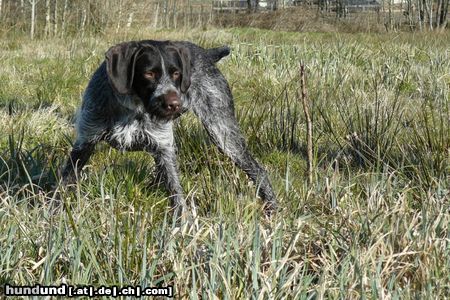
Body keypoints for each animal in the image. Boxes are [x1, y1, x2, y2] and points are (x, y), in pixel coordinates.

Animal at [61, 39, 276, 212]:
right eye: (149, 73)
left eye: (176, 74)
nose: (175, 104)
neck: (134, 106)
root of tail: (206, 53)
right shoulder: (85, 143)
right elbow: (63, 185)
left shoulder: (164, 148)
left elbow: (177, 196)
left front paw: (180, 229)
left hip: (223, 133)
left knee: (259, 171)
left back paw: (272, 211)